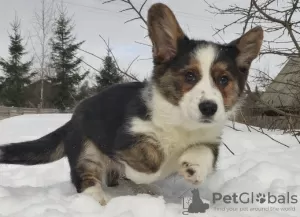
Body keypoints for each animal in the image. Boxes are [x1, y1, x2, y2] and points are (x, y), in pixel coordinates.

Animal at [0, 2, 262, 204]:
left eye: (223, 79)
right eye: (190, 76)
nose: (209, 108)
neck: (182, 123)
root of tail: (71, 119)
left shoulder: (211, 139)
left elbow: (204, 152)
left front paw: (193, 168)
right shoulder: (130, 133)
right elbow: (150, 160)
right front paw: (142, 174)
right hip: (85, 149)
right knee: (85, 177)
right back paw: (98, 199)